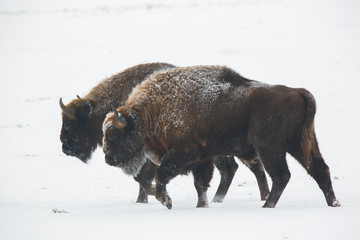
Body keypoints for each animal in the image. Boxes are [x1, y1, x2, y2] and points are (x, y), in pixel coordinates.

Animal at [59, 62, 268, 203]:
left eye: (70, 124)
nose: (64, 146)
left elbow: (142, 177)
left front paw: (146, 197)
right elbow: (142, 178)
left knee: (237, 167)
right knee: (242, 166)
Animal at [103, 65, 340, 208]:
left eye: (113, 134)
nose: (107, 157)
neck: (151, 111)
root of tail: (297, 92)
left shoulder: (181, 154)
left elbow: (163, 175)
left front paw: (167, 201)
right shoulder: (203, 159)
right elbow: (200, 184)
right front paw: (203, 205)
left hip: (271, 149)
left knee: (282, 176)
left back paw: (267, 205)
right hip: (300, 144)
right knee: (319, 169)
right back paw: (333, 203)